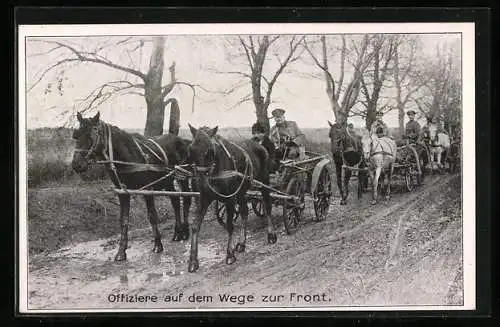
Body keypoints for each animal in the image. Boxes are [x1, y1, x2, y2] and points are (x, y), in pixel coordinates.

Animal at [71, 111, 192, 262]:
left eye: (90, 136)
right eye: (76, 135)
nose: (76, 165)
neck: (127, 157)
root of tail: (182, 140)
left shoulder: (147, 189)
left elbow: (152, 216)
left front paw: (158, 244)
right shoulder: (123, 192)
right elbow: (123, 220)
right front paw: (121, 251)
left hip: (183, 176)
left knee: (186, 199)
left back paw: (185, 231)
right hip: (168, 180)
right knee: (175, 201)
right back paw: (177, 233)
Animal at [187, 125, 276, 274]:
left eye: (210, 150)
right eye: (191, 149)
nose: (199, 179)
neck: (215, 169)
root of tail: (259, 145)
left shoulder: (229, 199)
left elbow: (229, 225)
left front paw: (229, 254)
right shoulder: (204, 198)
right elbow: (195, 226)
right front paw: (193, 261)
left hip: (264, 181)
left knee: (267, 207)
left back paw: (271, 235)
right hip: (241, 191)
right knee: (244, 212)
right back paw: (241, 243)